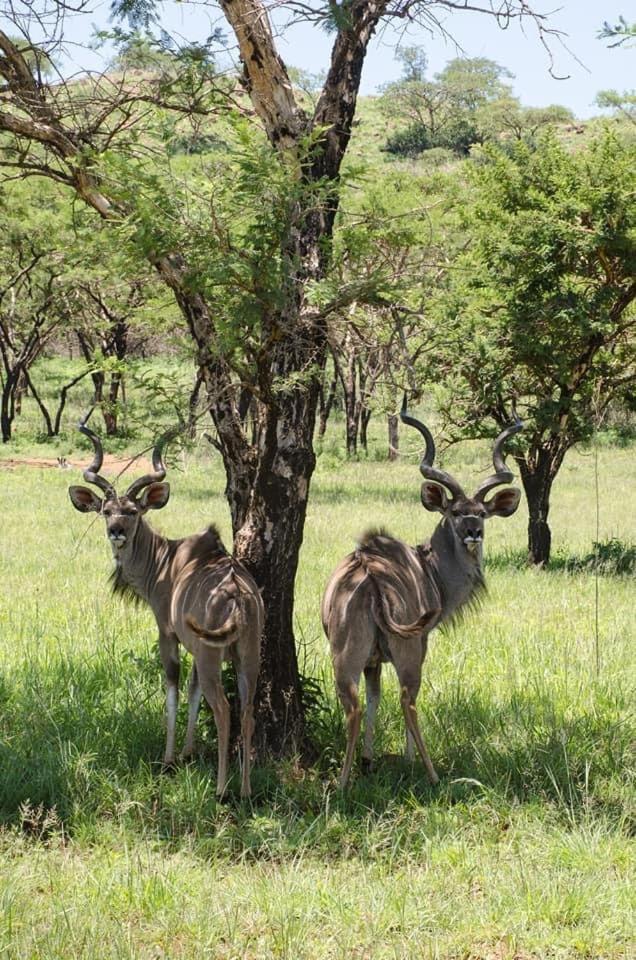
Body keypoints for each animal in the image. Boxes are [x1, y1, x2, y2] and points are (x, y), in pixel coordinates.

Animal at [70, 416, 266, 800]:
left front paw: (170, 758)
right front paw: (188, 753)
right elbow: (191, 692)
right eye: (106, 511)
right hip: (246, 656)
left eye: (132, 512)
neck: (166, 560)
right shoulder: (196, 649)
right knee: (248, 709)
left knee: (224, 709)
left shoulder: (167, 633)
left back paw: (222, 790)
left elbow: (173, 689)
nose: (116, 532)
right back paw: (247, 789)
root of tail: (238, 597)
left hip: (212, 656)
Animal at [322, 398, 520, 788]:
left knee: (353, 704)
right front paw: (408, 760)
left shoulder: (372, 661)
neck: (428, 567)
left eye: (482, 513)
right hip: (409, 650)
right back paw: (431, 774)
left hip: (345, 656)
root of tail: (372, 577)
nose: (474, 532)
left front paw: (368, 761)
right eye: (456, 512)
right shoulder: (420, 643)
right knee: (408, 700)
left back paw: (343, 781)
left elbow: (374, 698)